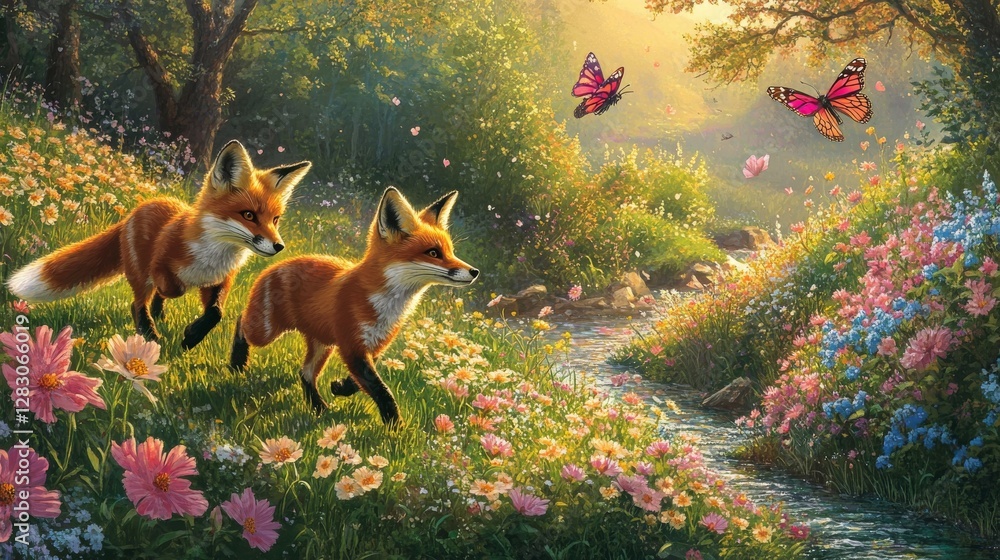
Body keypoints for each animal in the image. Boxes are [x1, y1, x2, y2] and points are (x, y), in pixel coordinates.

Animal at [6, 140, 311, 350]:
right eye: (248, 215)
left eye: (275, 219)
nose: (278, 246)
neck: (213, 255)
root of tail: (138, 208)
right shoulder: (161, 264)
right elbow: (173, 288)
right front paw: (179, 322)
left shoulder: (220, 282)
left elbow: (215, 313)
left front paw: (191, 337)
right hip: (139, 272)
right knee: (137, 304)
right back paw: (150, 333)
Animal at [229, 187, 478, 425]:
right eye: (433, 253)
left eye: (450, 251)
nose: (474, 272)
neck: (387, 307)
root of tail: (277, 264)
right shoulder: (351, 344)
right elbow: (382, 390)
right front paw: (395, 427)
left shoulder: (375, 345)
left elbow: (359, 382)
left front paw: (339, 387)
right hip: (266, 332)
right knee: (241, 321)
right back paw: (237, 363)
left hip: (322, 343)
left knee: (305, 373)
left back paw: (318, 407)